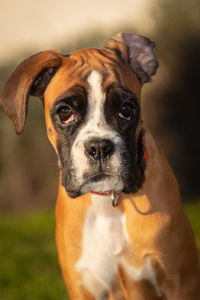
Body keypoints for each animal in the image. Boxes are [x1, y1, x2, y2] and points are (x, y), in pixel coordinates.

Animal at [0, 34, 200, 298]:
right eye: (65, 112)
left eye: (126, 109)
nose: (99, 147)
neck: (109, 203)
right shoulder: (83, 287)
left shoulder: (181, 282)